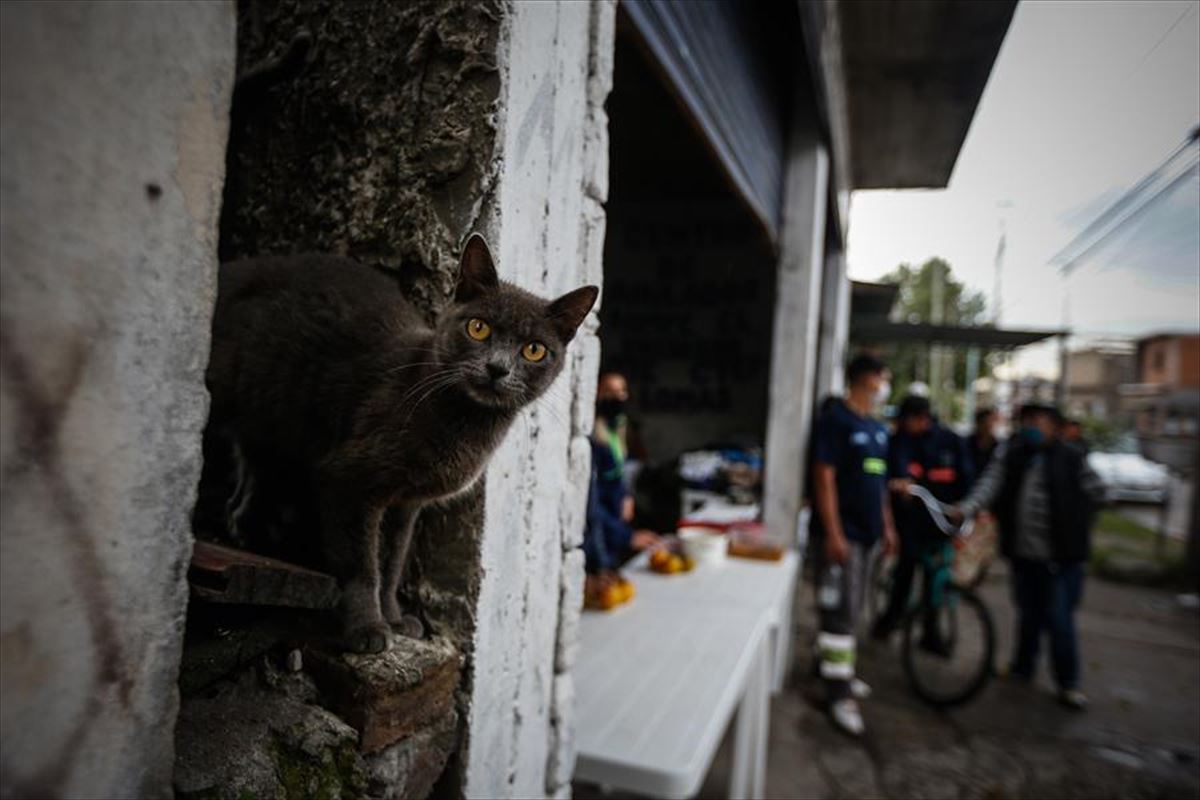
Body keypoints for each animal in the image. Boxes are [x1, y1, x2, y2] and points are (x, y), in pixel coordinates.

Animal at [208, 236, 600, 652]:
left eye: (534, 350)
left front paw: (394, 619)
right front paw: (367, 629)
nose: (497, 368)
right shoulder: (347, 479)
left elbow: (393, 560)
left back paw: (246, 531)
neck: (464, 424)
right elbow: (363, 564)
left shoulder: (406, 504)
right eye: (478, 328)